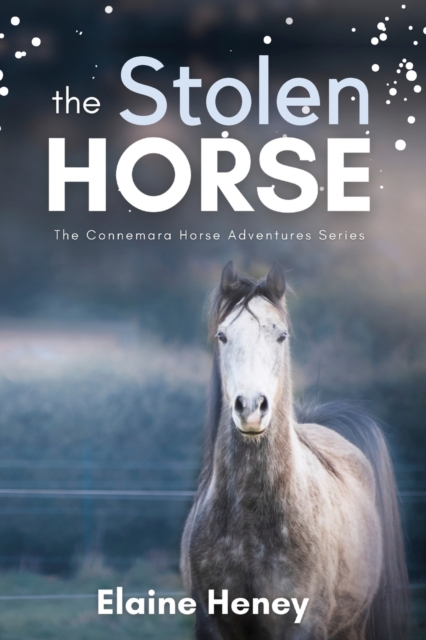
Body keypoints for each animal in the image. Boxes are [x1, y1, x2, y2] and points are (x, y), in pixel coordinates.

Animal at [180, 261, 409, 640]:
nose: (251, 408)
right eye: (223, 336)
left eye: (281, 335)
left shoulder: (304, 625)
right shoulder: (211, 625)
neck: (251, 527)